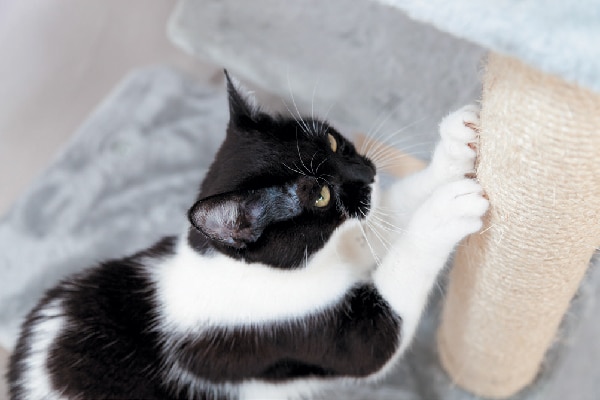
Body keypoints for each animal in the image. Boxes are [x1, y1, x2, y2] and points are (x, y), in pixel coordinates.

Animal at [7, 72, 490, 400]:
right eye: (318, 195)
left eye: (333, 143)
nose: (367, 173)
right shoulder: (292, 332)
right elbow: (380, 335)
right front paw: (445, 211)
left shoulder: (343, 238)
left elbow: (384, 214)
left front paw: (456, 144)